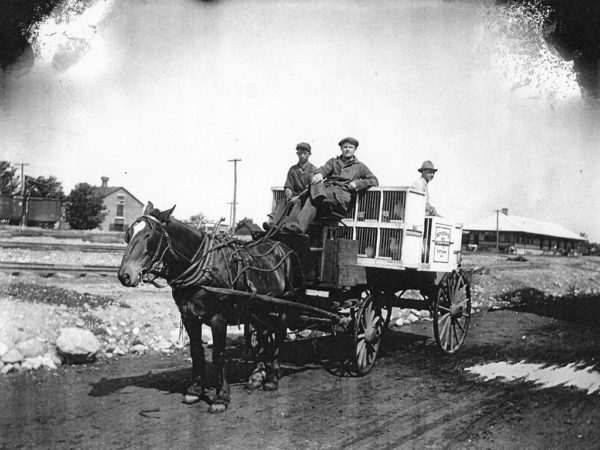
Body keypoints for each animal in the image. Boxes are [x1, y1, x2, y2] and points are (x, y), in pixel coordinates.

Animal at [117, 202, 304, 414]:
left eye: (149, 235)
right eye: (129, 234)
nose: (124, 275)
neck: (202, 265)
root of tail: (286, 248)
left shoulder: (218, 319)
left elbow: (218, 356)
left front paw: (221, 397)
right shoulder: (189, 317)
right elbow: (196, 353)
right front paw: (195, 390)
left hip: (283, 306)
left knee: (279, 335)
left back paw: (272, 378)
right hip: (259, 308)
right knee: (264, 336)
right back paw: (257, 376)